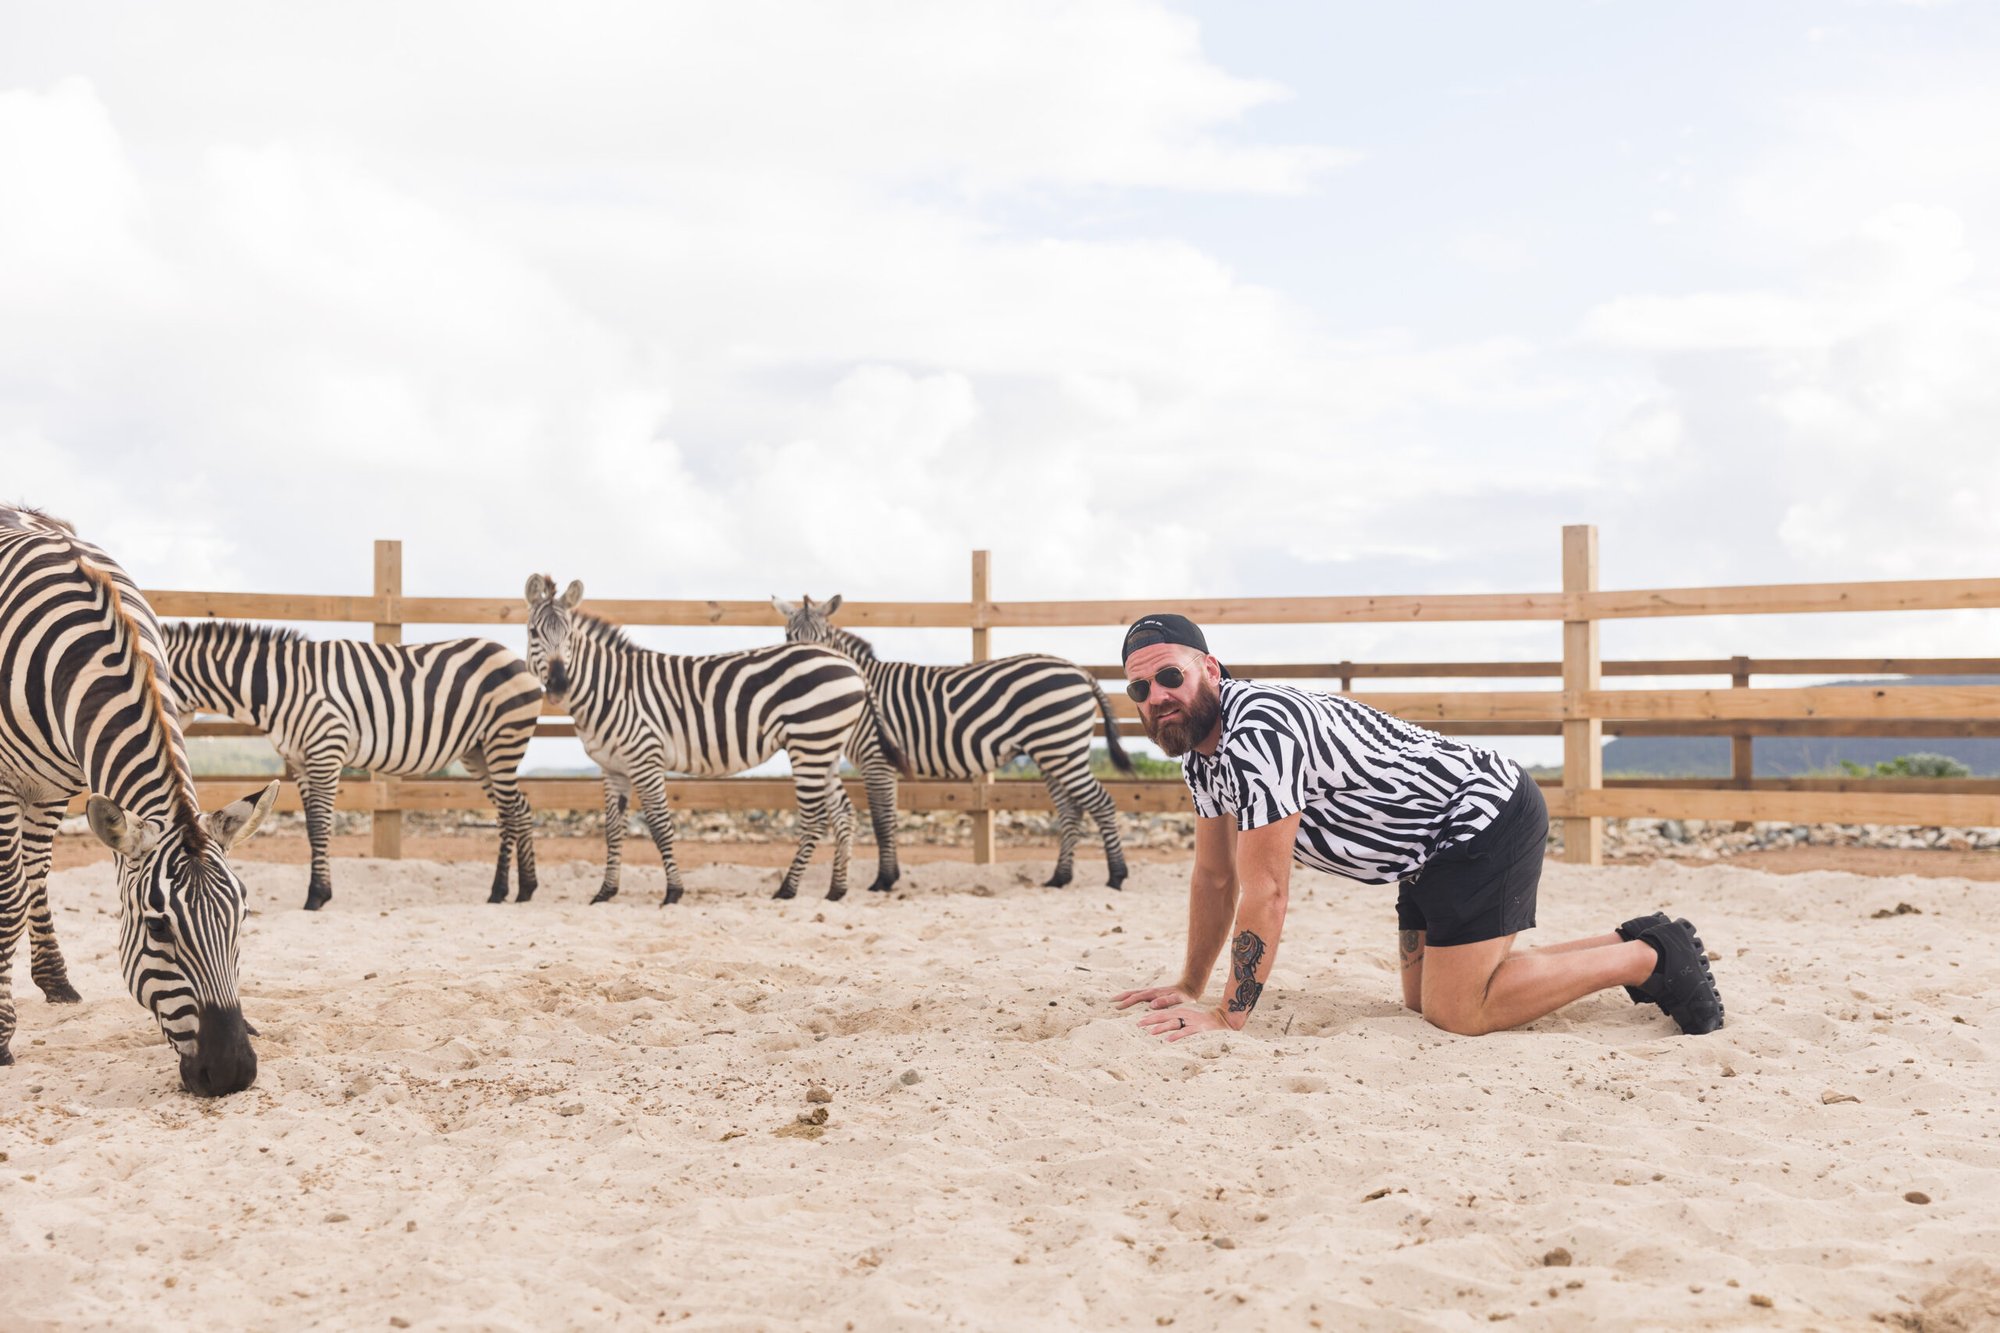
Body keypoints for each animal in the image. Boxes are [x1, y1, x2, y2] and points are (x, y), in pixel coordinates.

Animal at [0, 505, 278, 1096]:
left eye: (243, 916)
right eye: (157, 928)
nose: (232, 1073)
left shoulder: (62, 781)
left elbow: (32, 881)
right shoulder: (4, 781)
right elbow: (7, 902)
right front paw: (1, 1036)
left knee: (36, 872)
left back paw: (55, 981)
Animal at [162, 621, 545, 910]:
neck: (281, 686)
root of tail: (514, 657)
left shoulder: (325, 751)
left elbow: (321, 825)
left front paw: (316, 896)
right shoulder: (301, 763)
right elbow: (312, 828)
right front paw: (321, 891)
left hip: (503, 739)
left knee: (509, 812)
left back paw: (499, 891)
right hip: (478, 751)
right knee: (520, 808)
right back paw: (526, 889)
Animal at [526, 574, 895, 903]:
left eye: (570, 636)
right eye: (533, 632)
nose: (559, 684)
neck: (608, 688)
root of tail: (847, 662)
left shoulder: (645, 758)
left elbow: (659, 824)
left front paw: (673, 892)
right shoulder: (613, 768)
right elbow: (612, 830)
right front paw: (605, 892)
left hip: (810, 744)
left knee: (814, 818)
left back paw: (787, 889)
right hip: (825, 747)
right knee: (843, 813)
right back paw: (836, 890)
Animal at [774, 593, 1132, 892]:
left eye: (823, 637)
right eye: (788, 637)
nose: (802, 680)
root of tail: (1080, 671)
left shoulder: (876, 758)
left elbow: (881, 820)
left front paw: (883, 880)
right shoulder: (881, 762)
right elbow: (888, 817)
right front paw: (891, 876)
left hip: (1061, 748)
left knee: (1101, 803)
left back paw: (1116, 876)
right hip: (1053, 753)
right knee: (1072, 810)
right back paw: (1060, 878)